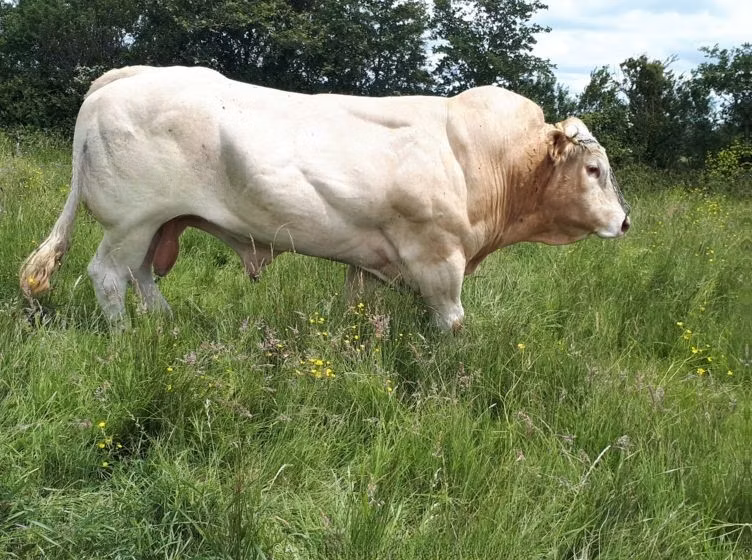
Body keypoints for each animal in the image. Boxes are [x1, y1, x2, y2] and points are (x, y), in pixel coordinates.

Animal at [20, 65, 630, 331]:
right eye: (595, 169)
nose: (625, 222)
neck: (478, 157)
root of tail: (123, 78)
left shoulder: (376, 263)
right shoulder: (438, 257)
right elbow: (452, 322)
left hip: (161, 223)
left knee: (142, 276)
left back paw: (164, 328)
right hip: (131, 221)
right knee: (108, 277)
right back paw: (125, 338)